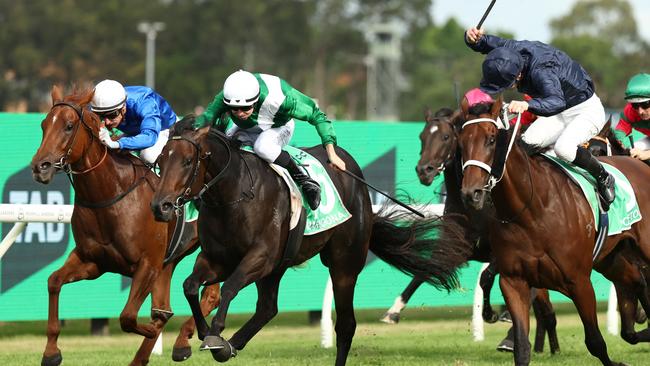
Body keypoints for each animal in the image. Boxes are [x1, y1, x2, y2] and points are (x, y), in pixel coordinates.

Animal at [29, 86, 220, 366]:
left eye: (68, 126)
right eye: (43, 125)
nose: (39, 167)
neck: (109, 193)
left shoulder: (147, 263)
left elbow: (129, 317)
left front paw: (152, 331)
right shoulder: (93, 261)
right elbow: (54, 281)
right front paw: (51, 352)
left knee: (211, 295)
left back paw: (182, 341)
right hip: (169, 261)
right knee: (172, 305)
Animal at [149, 118, 468, 366]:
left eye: (187, 161)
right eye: (160, 162)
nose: (160, 206)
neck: (233, 195)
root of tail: (354, 174)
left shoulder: (260, 256)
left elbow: (228, 287)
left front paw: (215, 335)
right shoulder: (218, 259)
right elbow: (190, 286)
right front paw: (204, 336)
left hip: (343, 264)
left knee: (346, 325)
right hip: (280, 265)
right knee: (267, 308)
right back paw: (233, 344)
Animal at [454, 96, 648, 364]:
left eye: (491, 139)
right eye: (461, 142)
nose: (470, 193)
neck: (531, 211)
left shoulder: (579, 281)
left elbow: (596, 342)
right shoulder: (513, 281)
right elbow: (521, 347)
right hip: (612, 258)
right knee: (637, 280)